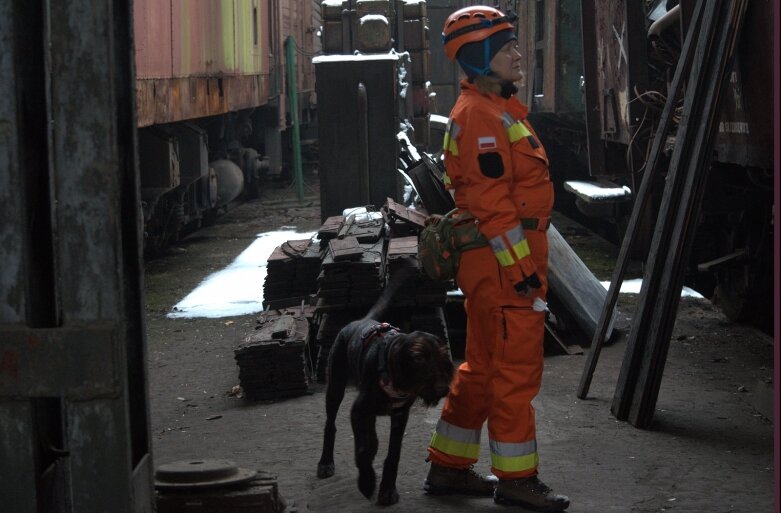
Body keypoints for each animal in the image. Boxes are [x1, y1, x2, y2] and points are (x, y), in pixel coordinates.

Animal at [316, 262, 454, 502]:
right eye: (418, 358)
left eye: (441, 357)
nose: (442, 388)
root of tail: (360, 321)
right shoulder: (357, 410)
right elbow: (362, 450)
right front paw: (367, 483)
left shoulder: (399, 416)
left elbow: (393, 454)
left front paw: (388, 489)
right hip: (335, 387)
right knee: (330, 424)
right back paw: (325, 463)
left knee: (370, 432)